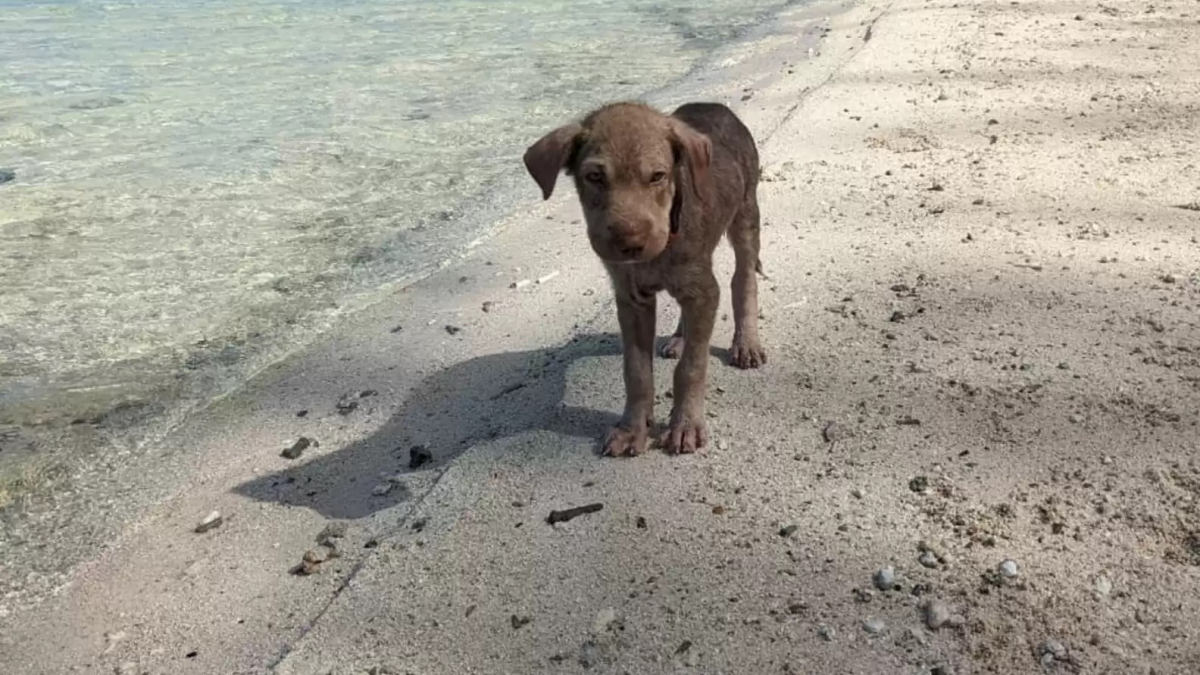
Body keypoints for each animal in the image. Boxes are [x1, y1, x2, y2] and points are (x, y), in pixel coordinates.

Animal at [520, 102, 763, 454]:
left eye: (658, 176)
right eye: (594, 177)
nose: (629, 243)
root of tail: (712, 105)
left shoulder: (703, 290)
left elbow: (691, 366)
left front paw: (685, 424)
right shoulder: (633, 300)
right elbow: (635, 371)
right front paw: (631, 429)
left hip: (746, 215)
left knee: (743, 279)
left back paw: (746, 344)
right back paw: (679, 338)